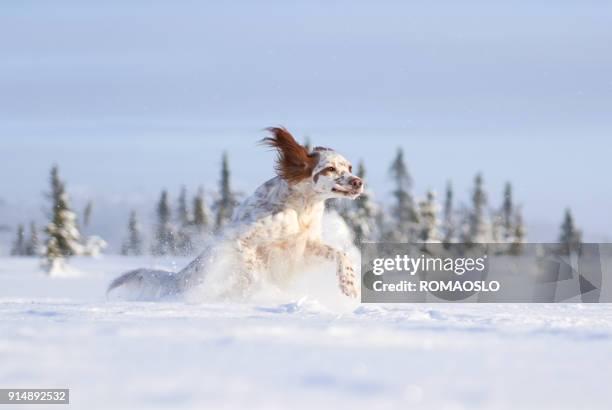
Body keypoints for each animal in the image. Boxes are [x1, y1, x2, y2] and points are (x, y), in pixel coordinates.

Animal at [108, 127, 364, 298]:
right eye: (330, 169)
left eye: (350, 167)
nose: (358, 182)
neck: (301, 208)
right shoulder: (240, 240)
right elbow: (253, 270)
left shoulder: (306, 246)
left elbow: (342, 254)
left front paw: (349, 284)